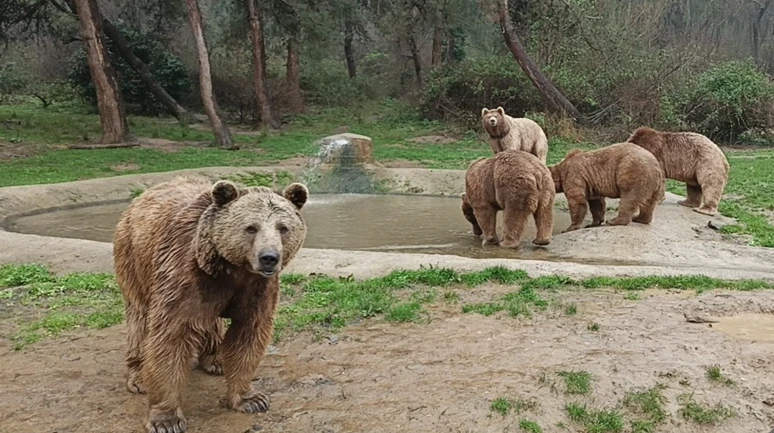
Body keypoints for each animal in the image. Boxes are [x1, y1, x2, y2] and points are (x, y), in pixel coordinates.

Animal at [115, 176, 310, 432]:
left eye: (283, 228)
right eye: (251, 227)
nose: (269, 258)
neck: (232, 270)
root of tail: (144, 194)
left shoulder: (257, 289)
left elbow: (249, 336)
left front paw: (251, 399)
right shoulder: (183, 275)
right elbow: (170, 338)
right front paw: (166, 419)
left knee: (211, 322)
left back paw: (216, 360)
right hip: (134, 259)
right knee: (139, 318)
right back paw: (139, 377)